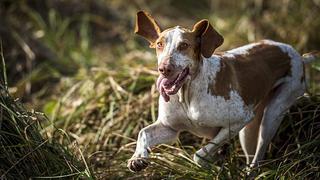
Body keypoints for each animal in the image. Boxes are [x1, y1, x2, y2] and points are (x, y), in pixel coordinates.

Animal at [127, 10, 318, 172]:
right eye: (159, 44)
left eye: (184, 45)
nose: (164, 68)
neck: (188, 94)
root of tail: (298, 55)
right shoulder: (170, 129)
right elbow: (143, 133)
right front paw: (138, 158)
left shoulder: (239, 120)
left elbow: (199, 155)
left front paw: (212, 167)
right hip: (248, 132)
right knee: (251, 157)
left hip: (272, 114)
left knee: (258, 156)